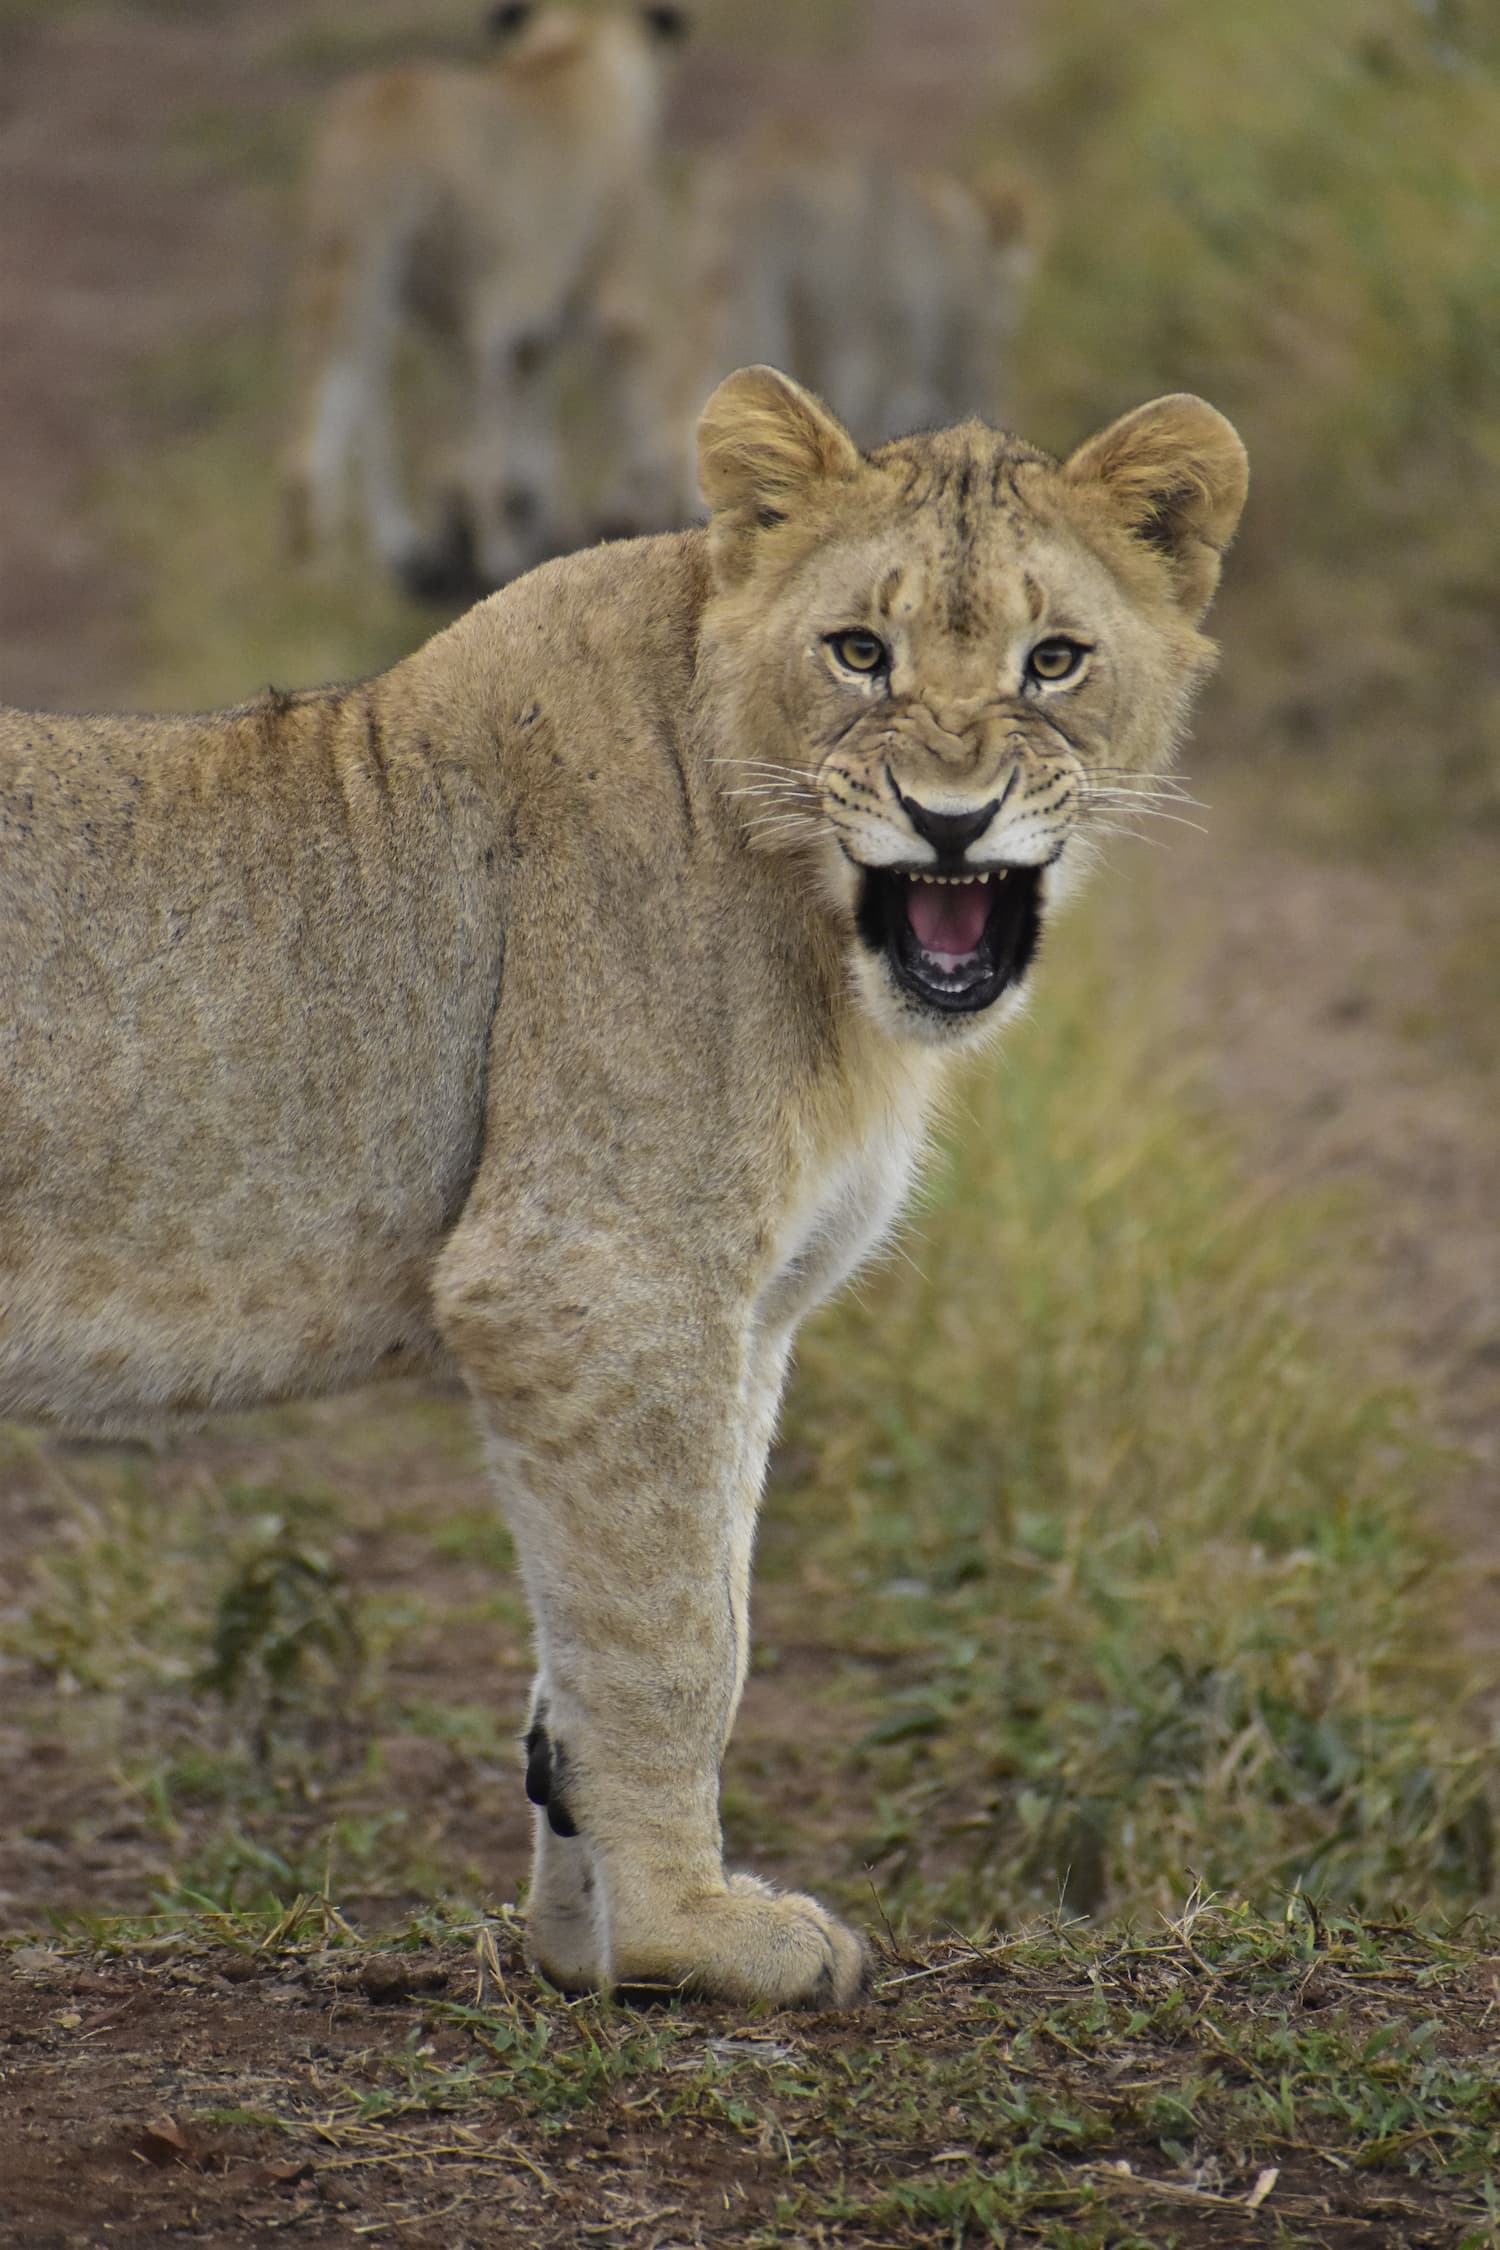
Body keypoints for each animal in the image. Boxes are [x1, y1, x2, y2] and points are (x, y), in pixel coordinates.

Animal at [0, 369, 1247, 2006]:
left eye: (1055, 662)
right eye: (860, 651)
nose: (951, 821)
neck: (824, 944)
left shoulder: (744, 1313)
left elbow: (653, 1619)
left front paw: (583, 1938)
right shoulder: (590, 1279)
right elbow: (675, 1638)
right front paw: (689, 1936)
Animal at [281, 1, 690, 595]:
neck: (574, 56)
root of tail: (379, 110)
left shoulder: (489, 320)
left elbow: (528, 398)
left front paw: (535, 514)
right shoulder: (605, 286)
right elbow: (624, 398)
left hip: (356, 278)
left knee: (359, 398)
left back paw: (388, 554)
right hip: (457, 297)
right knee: (460, 427)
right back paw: (489, 553)